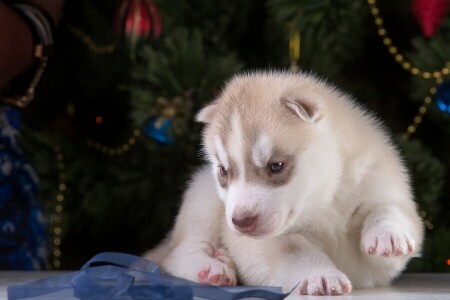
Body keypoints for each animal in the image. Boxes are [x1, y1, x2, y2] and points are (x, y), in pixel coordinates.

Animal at [146, 71, 424, 296]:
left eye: (276, 166)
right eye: (224, 171)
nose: (240, 222)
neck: (325, 202)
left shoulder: (381, 187)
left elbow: (388, 209)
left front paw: (388, 234)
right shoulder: (279, 241)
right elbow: (301, 253)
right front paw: (321, 275)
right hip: (201, 199)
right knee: (179, 252)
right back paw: (212, 268)